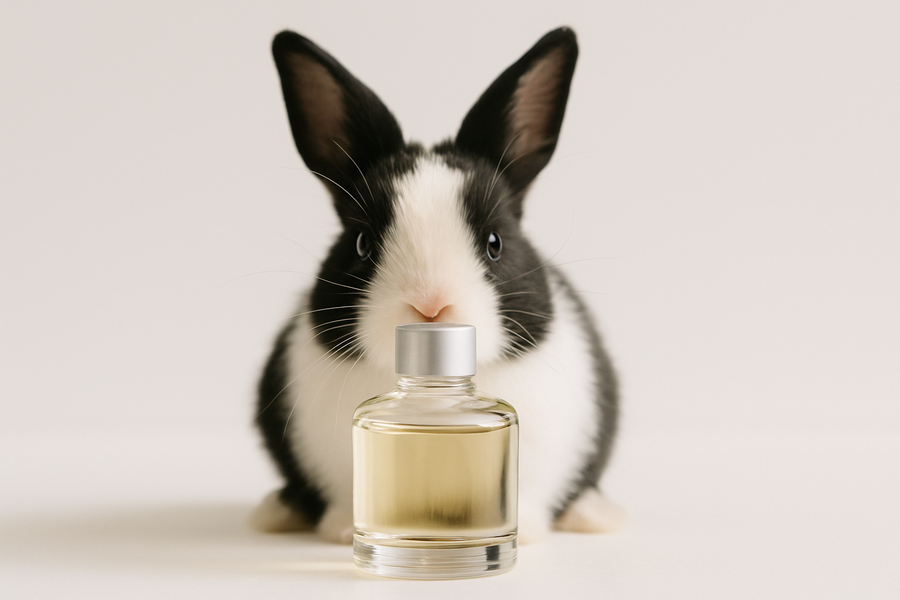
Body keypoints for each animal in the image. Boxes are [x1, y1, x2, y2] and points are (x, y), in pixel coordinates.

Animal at [251, 27, 622, 544]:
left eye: (494, 243)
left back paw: (596, 515)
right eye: (362, 244)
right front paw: (342, 531)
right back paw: (275, 512)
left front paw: (527, 532)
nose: (431, 306)